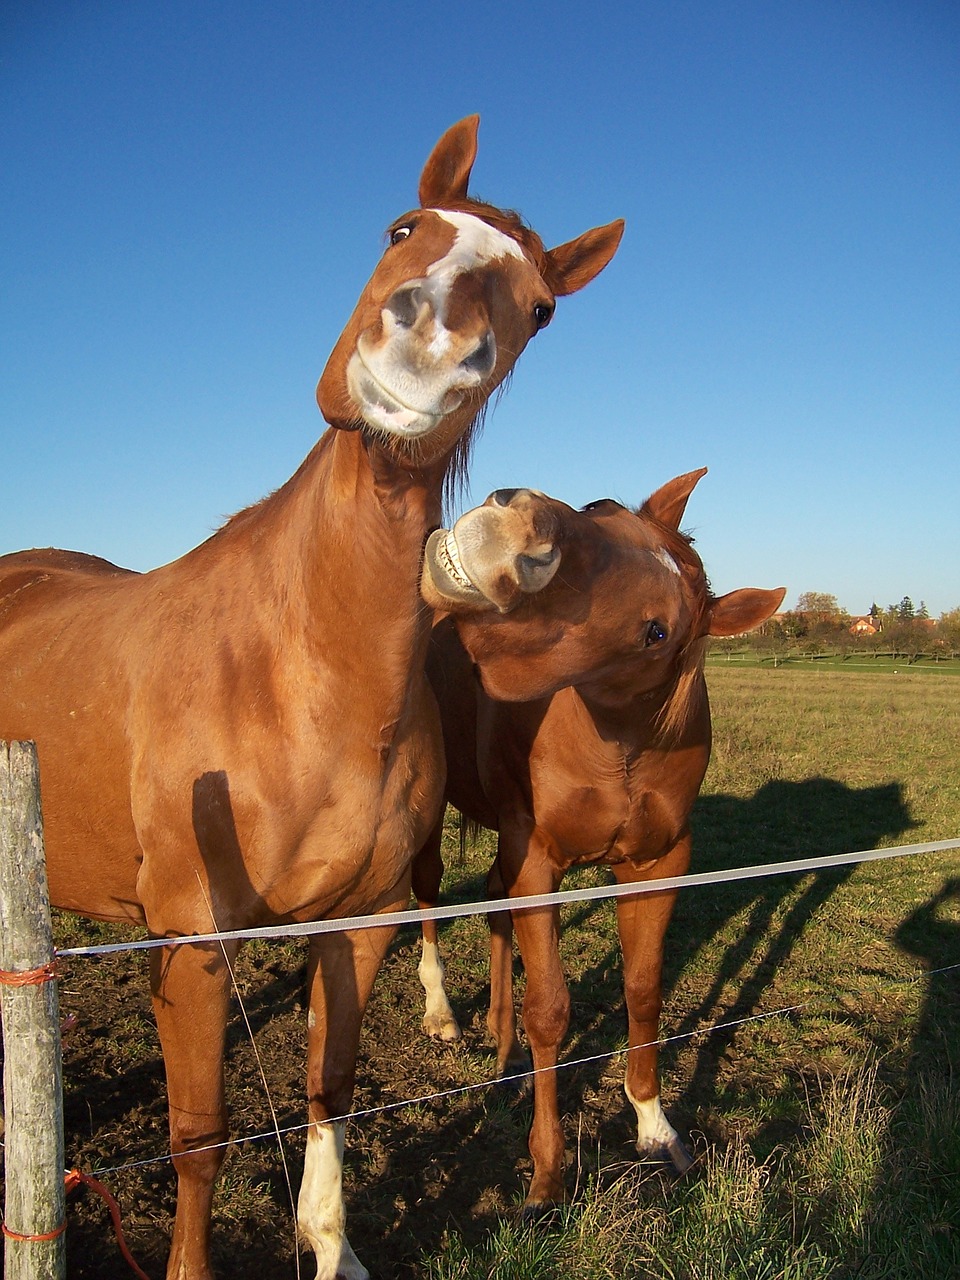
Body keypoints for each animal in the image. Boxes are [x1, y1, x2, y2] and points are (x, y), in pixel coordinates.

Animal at [0, 115, 624, 1274]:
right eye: (403, 225)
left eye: (543, 306)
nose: (429, 350)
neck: (298, 677)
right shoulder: (191, 948)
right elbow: (200, 1135)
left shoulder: (361, 922)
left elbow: (329, 1084)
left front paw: (330, 1242)